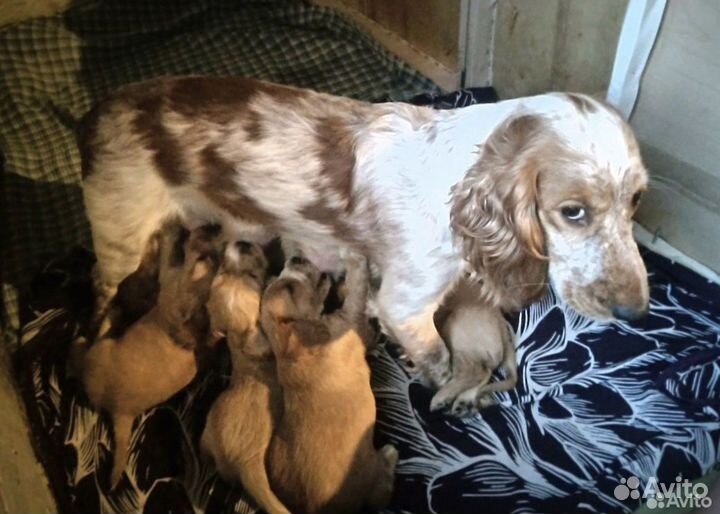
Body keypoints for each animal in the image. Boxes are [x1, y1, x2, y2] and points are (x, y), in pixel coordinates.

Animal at [73, 222, 221, 486]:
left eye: (201, 258)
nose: (213, 227)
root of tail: (121, 413)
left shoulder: (170, 278)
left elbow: (167, 259)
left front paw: (168, 237)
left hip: (99, 353)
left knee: (90, 343)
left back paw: (103, 322)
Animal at [79, 76, 652, 406]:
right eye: (572, 212)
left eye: (636, 200)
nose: (637, 313)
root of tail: (99, 110)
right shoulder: (407, 305)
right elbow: (438, 357)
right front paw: (438, 385)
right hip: (119, 238)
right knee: (103, 289)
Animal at [260, 253, 396, 512]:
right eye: (290, 288)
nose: (296, 257)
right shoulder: (349, 319)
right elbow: (357, 287)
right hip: (372, 472)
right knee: (382, 491)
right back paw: (390, 455)